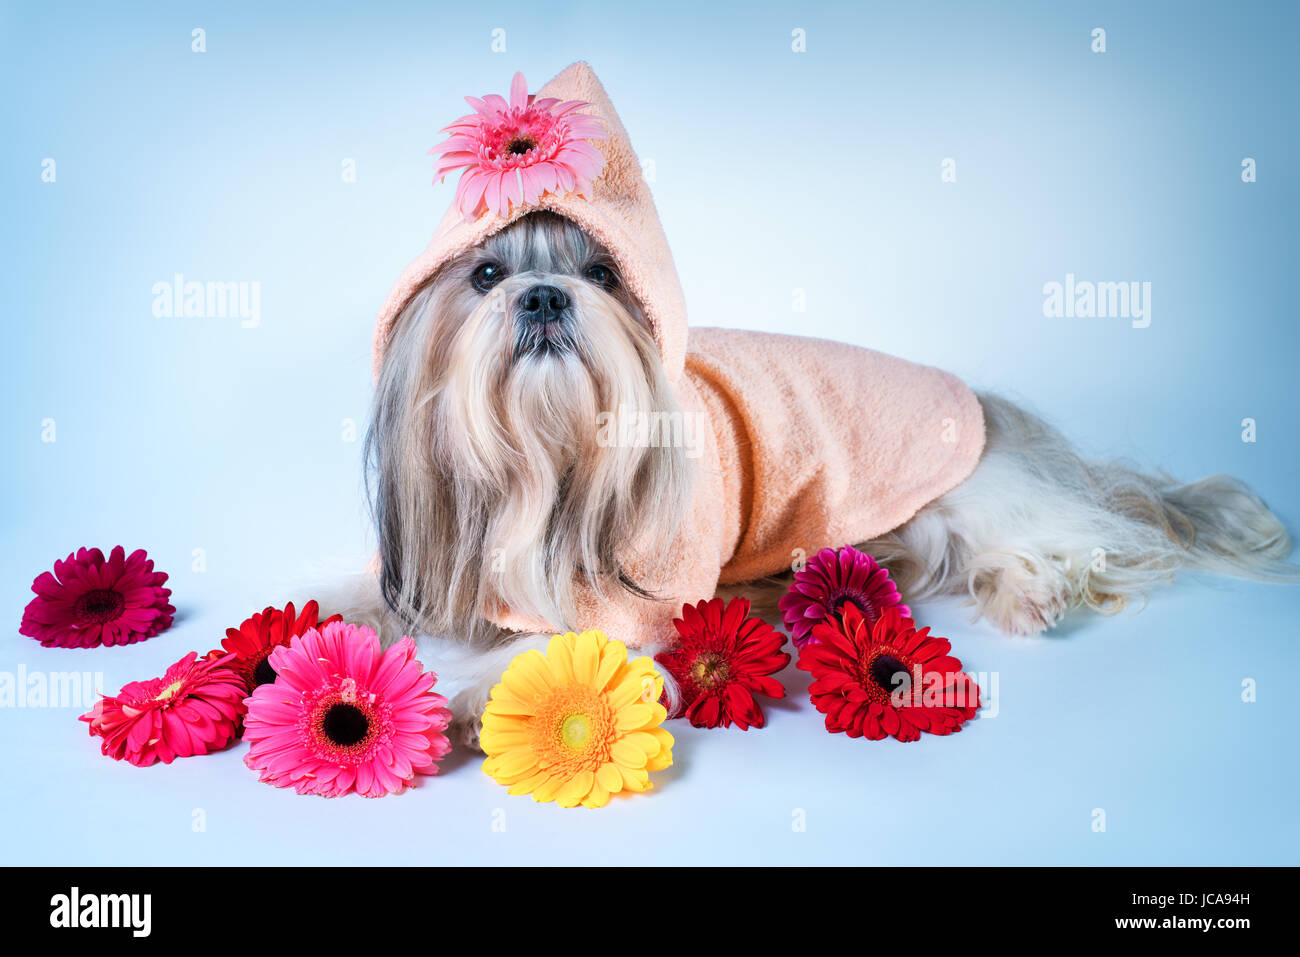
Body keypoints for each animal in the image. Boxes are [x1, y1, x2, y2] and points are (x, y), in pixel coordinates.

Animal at [353, 63, 1289, 748]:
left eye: (602, 273)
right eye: (486, 275)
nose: (545, 295)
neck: (548, 463)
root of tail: (987, 405)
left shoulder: (646, 605)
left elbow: (563, 644)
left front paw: (473, 695)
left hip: (969, 494)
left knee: (1084, 537)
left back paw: (1034, 591)